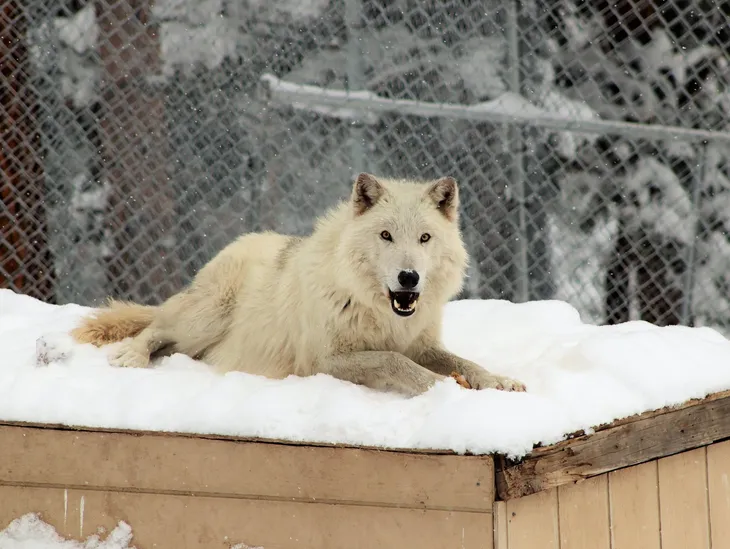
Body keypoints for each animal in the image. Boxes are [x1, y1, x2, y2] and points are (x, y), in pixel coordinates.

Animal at [71, 173, 526, 397]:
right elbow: (395, 362)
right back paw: (130, 356)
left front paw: (499, 382)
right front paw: (446, 389)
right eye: (386, 236)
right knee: (153, 330)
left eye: (425, 238)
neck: (379, 313)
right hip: (205, 318)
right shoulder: (321, 361)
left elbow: (464, 362)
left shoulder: (422, 345)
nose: (408, 278)